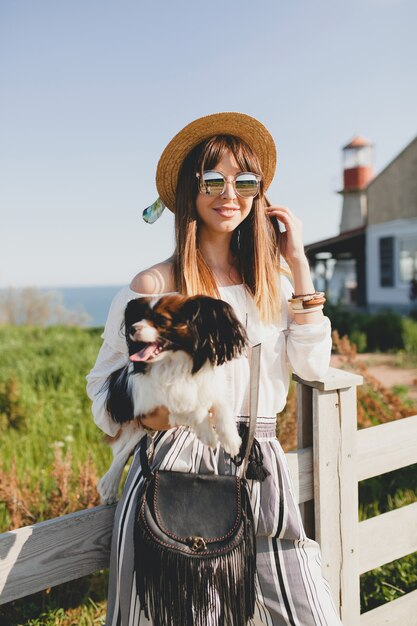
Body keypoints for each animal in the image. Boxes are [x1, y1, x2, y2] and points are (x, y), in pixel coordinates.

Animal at [97, 292, 247, 502]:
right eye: (139, 318)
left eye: (161, 320)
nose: (133, 328)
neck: (175, 363)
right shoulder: (155, 405)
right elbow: (193, 408)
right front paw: (208, 434)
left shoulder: (211, 389)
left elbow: (222, 408)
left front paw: (232, 441)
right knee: (122, 452)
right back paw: (109, 485)